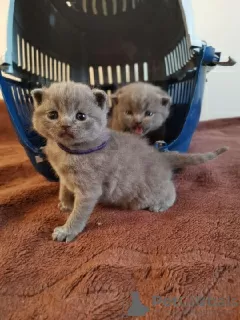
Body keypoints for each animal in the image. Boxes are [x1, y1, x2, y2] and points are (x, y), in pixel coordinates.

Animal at [31, 81, 227, 241]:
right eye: (53, 115)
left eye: (81, 116)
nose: (65, 124)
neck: (66, 151)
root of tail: (160, 154)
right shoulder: (63, 176)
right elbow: (63, 188)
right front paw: (65, 204)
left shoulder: (89, 190)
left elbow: (79, 213)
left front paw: (67, 230)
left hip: (147, 192)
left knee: (171, 190)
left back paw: (160, 205)